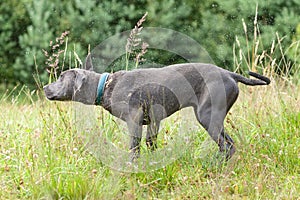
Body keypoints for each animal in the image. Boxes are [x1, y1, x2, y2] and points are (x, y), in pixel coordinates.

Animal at [43, 63, 270, 161]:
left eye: (61, 77)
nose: (45, 88)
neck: (105, 86)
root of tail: (230, 74)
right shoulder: (153, 120)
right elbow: (151, 144)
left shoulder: (134, 118)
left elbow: (134, 147)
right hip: (213, 119)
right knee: (229, 144)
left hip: (207, 117)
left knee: (227, 146)